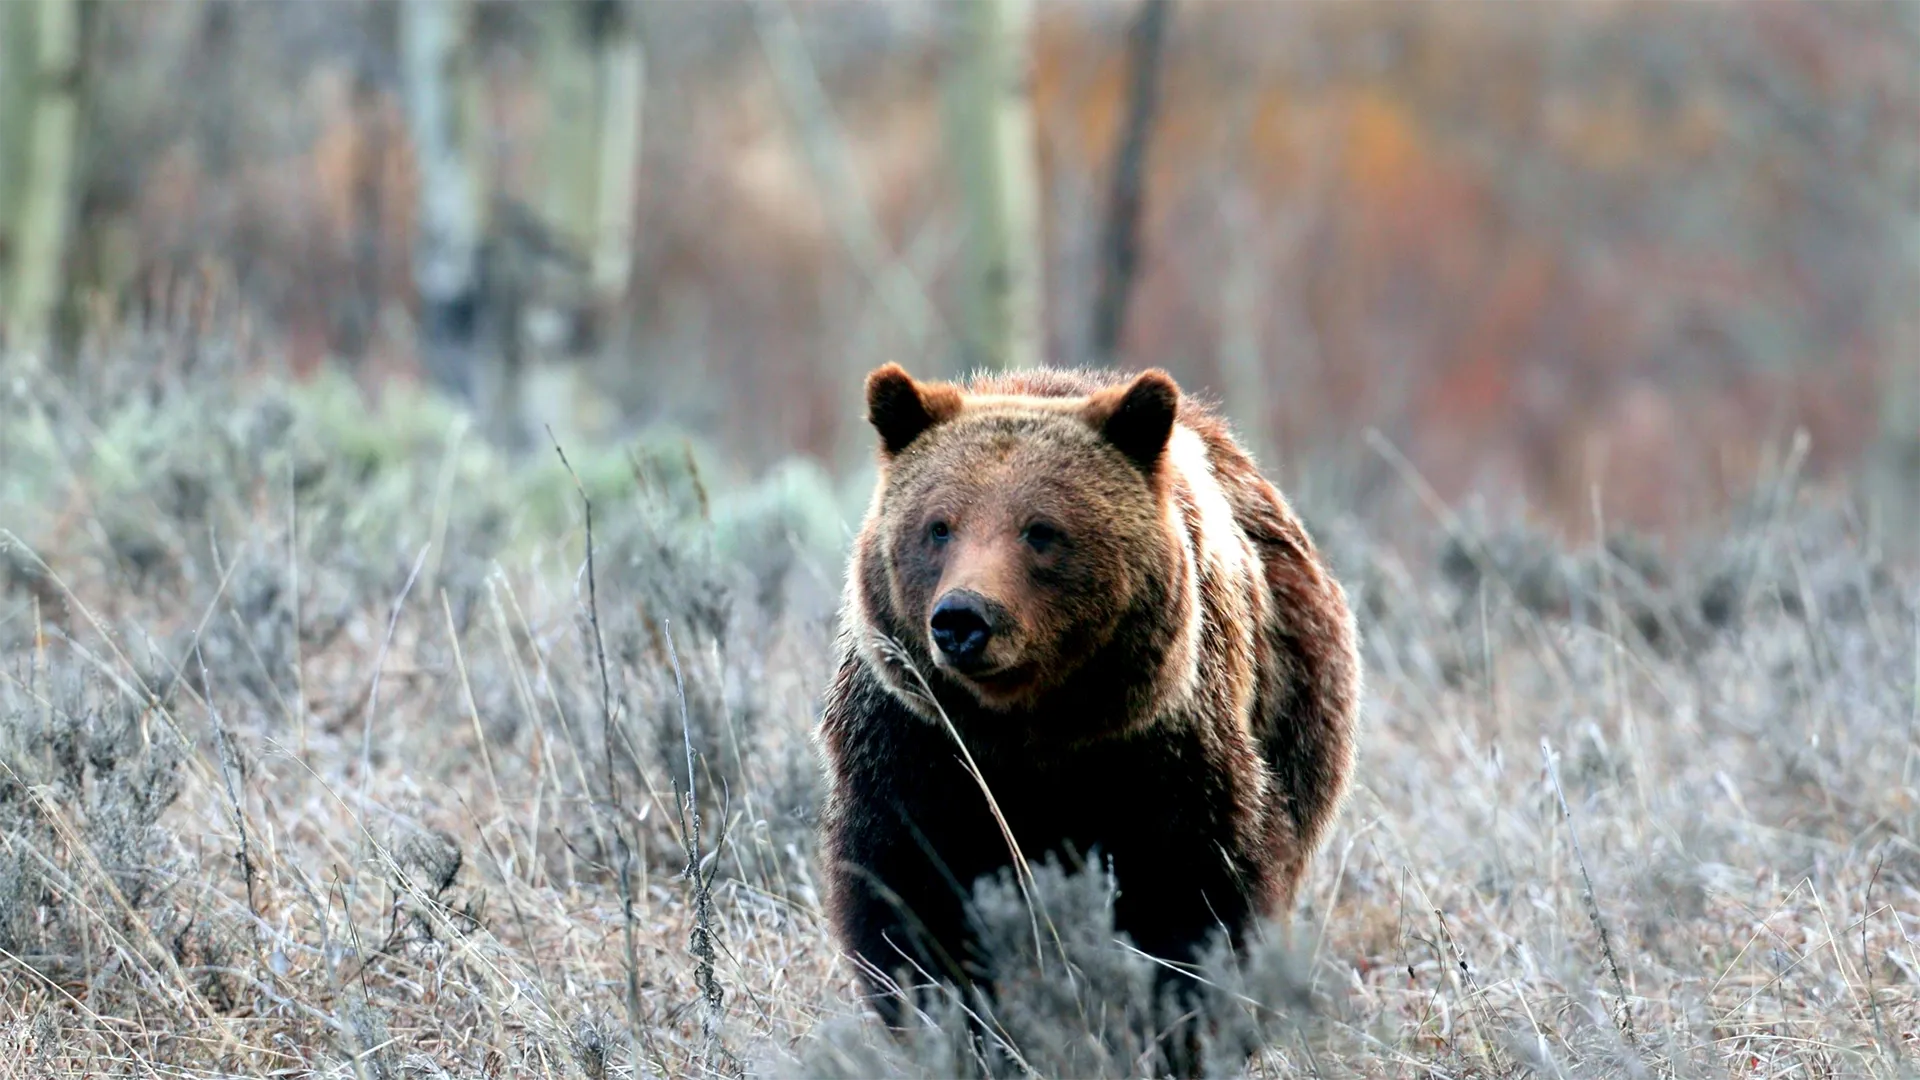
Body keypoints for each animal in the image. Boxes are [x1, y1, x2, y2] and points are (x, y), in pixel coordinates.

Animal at [815, 363, 1361, 1063]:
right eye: (939, 526)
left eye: (1041, 529)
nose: (964, 619)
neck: (1030, 732)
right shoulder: (916, 747)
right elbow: (911, 906)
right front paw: (964, 1033)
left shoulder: (1164, 756)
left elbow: (1197, 903)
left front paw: (1177, 1034)